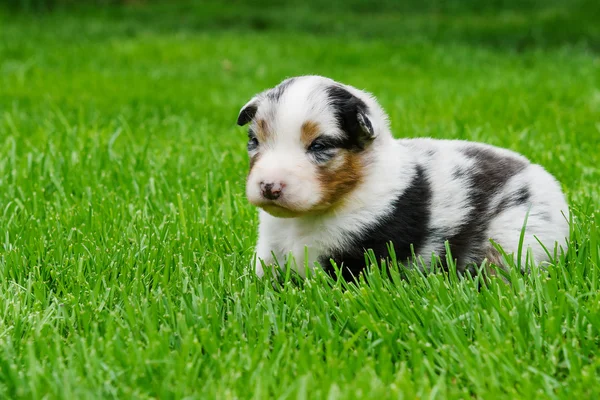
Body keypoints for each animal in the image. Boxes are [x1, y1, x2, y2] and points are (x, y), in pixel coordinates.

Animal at [237, 76, 568, 282]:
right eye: (254, 140)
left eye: (319, 146)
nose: (269, 187)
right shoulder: (269, 246)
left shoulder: (357, 255)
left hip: (517, 238)